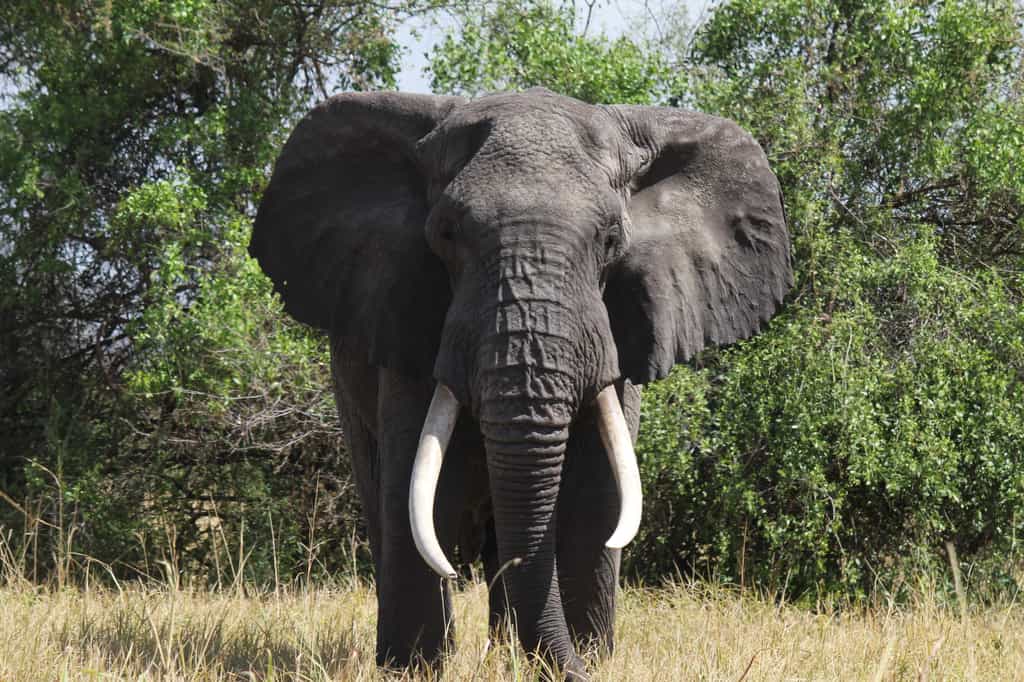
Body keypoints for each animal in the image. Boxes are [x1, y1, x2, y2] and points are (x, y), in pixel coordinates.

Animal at [248, 88, 791, 679]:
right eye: (446, 234)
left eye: (610, 239)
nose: (566, 667)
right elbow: (413, 492)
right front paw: (415, 669)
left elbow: (599, 495)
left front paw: (588, 659)